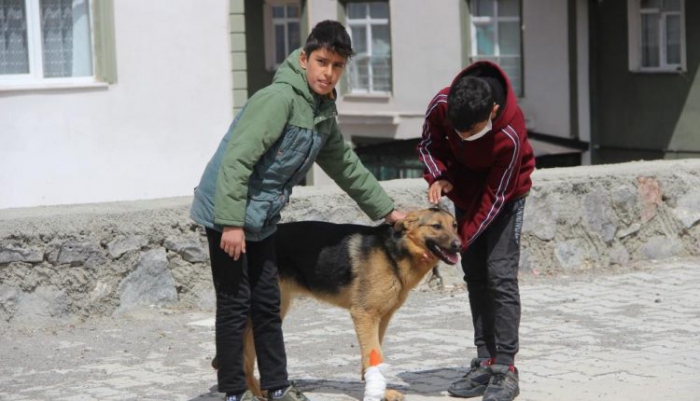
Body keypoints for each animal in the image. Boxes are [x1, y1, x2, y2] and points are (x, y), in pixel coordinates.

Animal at [230, 208, 462, 398]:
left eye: (454, 225)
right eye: (436, 226)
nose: (459, 245)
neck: (393, 252)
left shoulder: (380, 318)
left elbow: (373, 353)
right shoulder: (364, 314)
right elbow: (373, 351)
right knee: (245, 356)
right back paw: (256, 391)